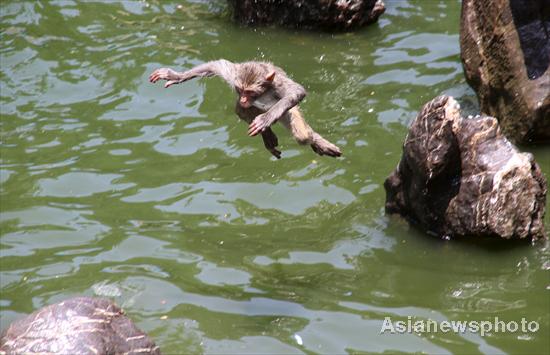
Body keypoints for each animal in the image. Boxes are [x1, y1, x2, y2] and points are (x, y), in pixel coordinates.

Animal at [149, 60, 342, 159]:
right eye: (241, 90)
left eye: (249, 92)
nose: (243, 98)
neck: (263, 93)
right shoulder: (233, 74)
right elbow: (215, 65)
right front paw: (176, 76)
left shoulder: (279, 85)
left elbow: (297, 91)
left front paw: (267, 118)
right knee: (241, 111)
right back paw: (267, 135)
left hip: (288, 112)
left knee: (302, 135)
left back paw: (317, 143)